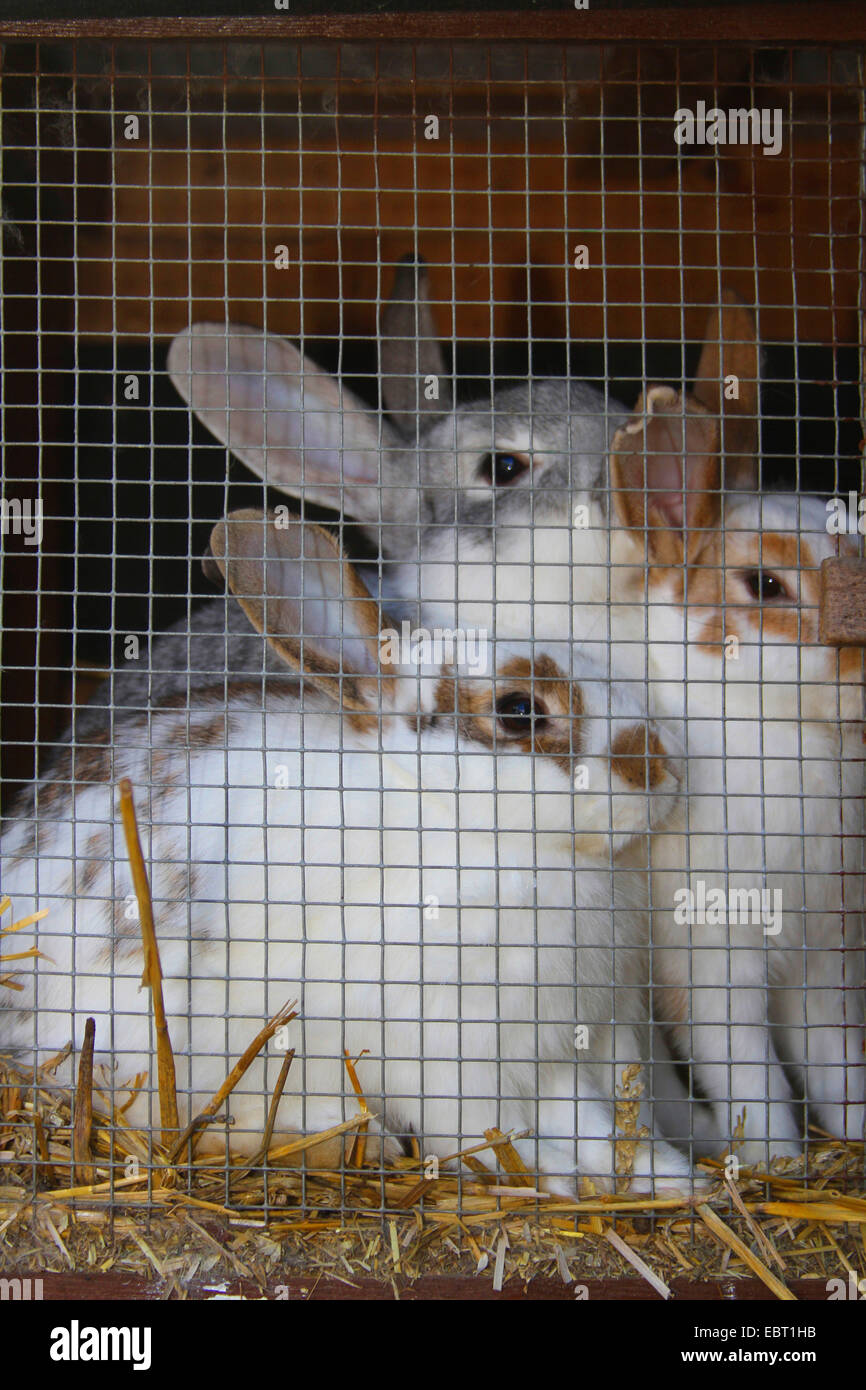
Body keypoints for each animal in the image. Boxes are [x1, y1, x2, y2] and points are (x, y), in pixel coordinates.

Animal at [0, 511, 692, 1195]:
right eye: (520, 710)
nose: (660, 767)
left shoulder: (577, 1041)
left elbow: (599, 1123)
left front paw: (671, 1179)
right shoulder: (451, 1055)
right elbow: (488, 1137)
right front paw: (546, 1184)